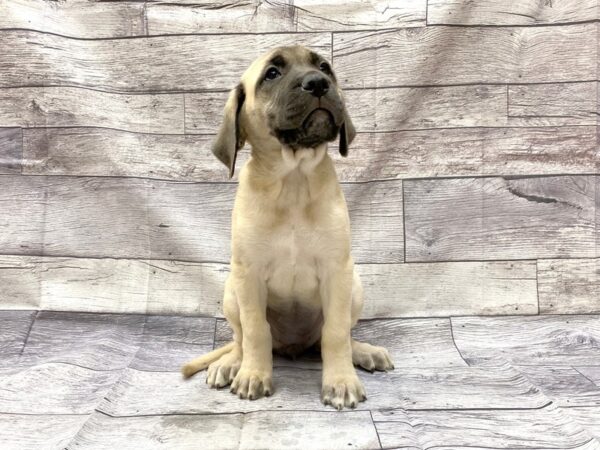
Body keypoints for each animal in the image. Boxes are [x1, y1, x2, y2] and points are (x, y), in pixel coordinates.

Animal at [182, 46, 394, 412]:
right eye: (272, 74)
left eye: (324, 67)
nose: (318, 83)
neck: (293, 179)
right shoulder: (248, 274)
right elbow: (256, 330)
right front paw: (253, 375)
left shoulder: (337, 271)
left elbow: (336, 333)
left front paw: (341, 381)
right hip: (231, 291)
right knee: (239, 338)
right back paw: (231, 364)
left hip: (355, 286)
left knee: (337, 335)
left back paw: (365, 352)